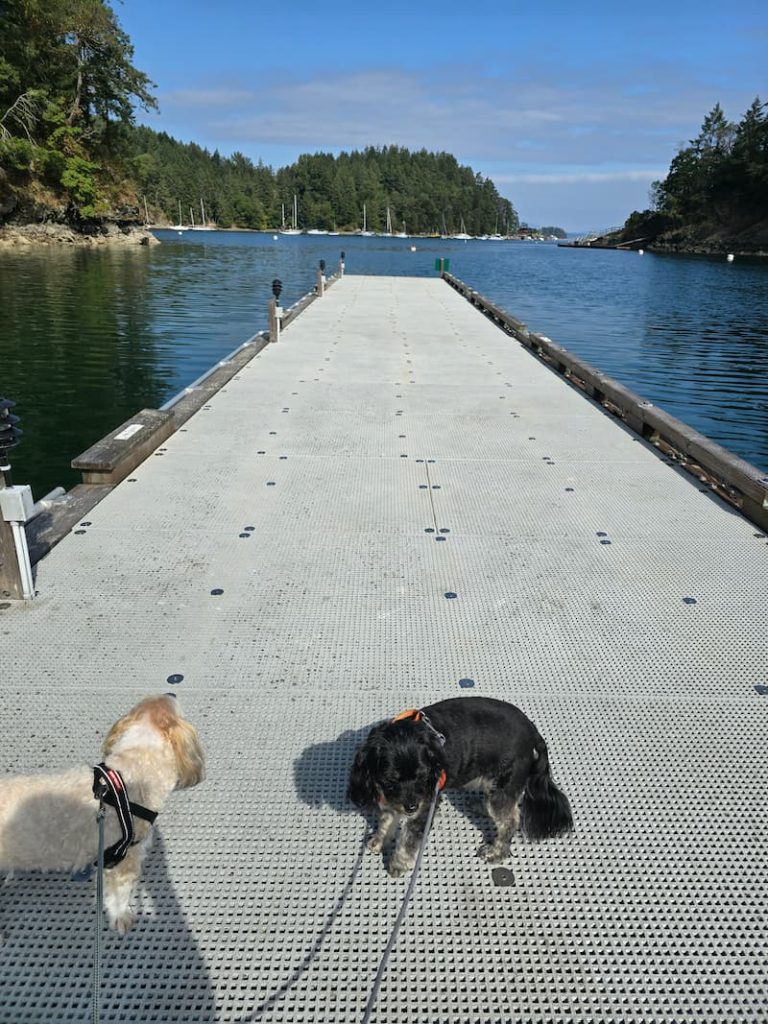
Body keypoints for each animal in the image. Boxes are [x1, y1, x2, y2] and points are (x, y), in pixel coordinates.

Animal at [346, 696, 573, 880]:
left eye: (422, 775)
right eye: (390, 779)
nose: (411, 807)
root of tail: (533, 731)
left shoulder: (425, 803)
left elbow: (408, 839)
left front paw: (398, 864)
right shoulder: (392, 798)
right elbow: (386, 820)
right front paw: (380, 840)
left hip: (504, 783)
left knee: (510, 820)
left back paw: (496, 852)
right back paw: (482, 807)